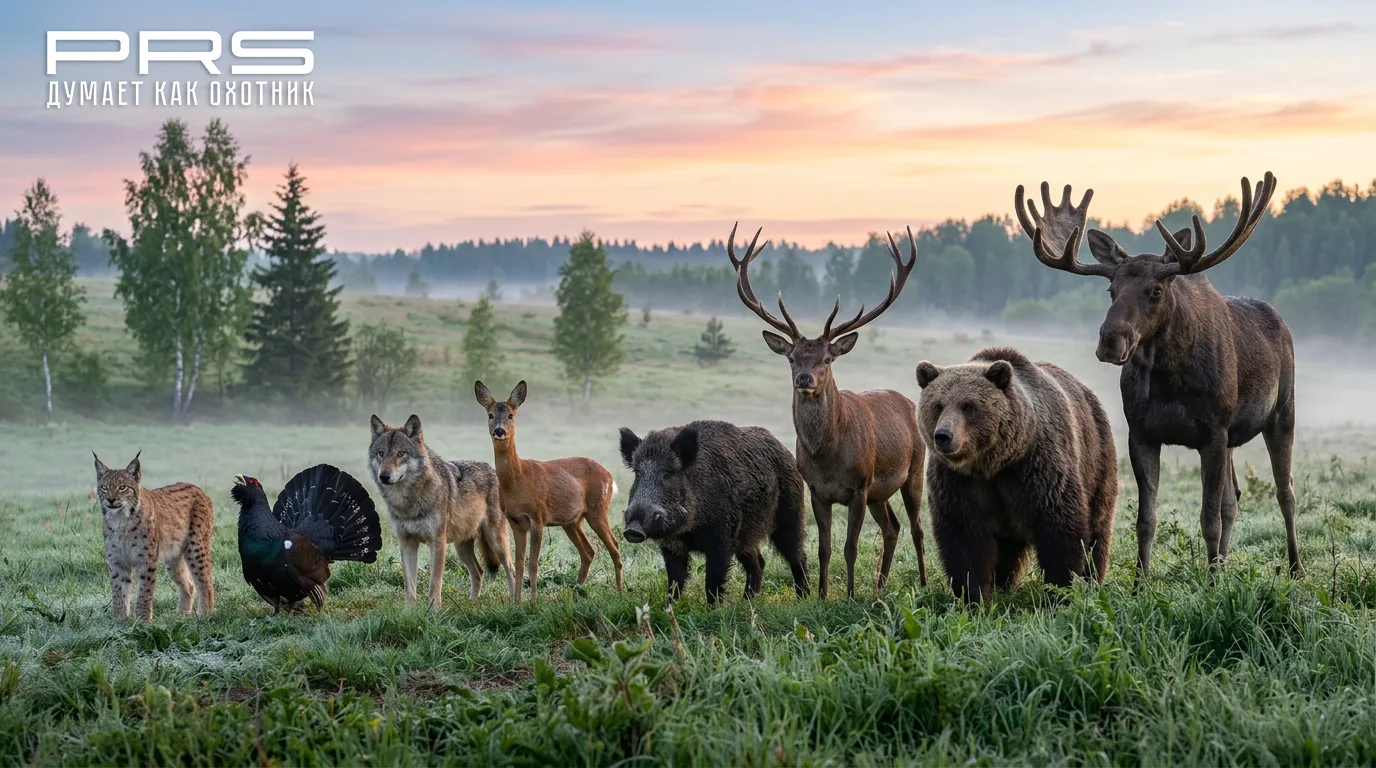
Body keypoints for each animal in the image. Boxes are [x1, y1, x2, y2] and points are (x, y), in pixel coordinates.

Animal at [369, 414, 516, 608]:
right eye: (381, 453)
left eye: (401, 453)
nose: (384, 476)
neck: (409, 502)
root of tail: (493, 470)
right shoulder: (407, 542)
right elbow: (409, 586)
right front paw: (409, 611)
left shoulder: (437, 542)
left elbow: (435, 582)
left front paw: (434, 611)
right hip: (462, 548)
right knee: (479, 571)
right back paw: (472, 602)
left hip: (496, 541)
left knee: (512, 570)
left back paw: (515, 601)